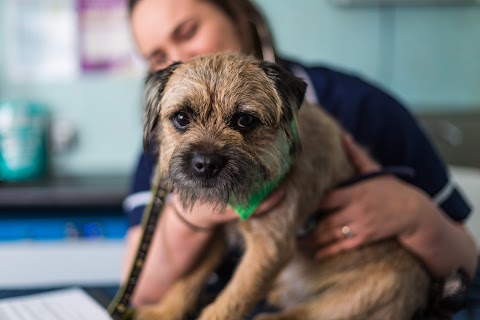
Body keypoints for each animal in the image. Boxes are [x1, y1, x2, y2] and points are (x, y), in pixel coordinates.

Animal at [136, 53, 432, 320]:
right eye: (181, 118)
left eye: (245, 120)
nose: (206, 163)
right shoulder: (214, 229)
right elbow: (189, 277)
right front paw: (164, 312)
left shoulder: (269, 247)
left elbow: (231, 300)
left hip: (369, 292)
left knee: (302, 314)